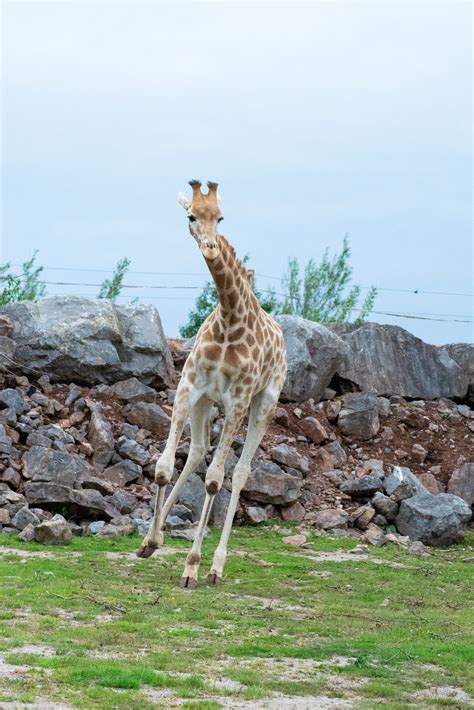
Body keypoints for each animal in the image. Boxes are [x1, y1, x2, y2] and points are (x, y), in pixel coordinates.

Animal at [135, 179, 286, 588]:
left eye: (220, 217)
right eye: (190, 216)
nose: (211, 246)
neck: (230, 319)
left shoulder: (238, 400)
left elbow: (216, 480)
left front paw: (192, 566)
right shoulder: (189, 387)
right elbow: (164, 466)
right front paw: (150, 541)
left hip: (265, 402)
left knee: (241, 473)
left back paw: (216, 567)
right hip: (206, 403)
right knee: (198, 452)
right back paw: (154, 539)